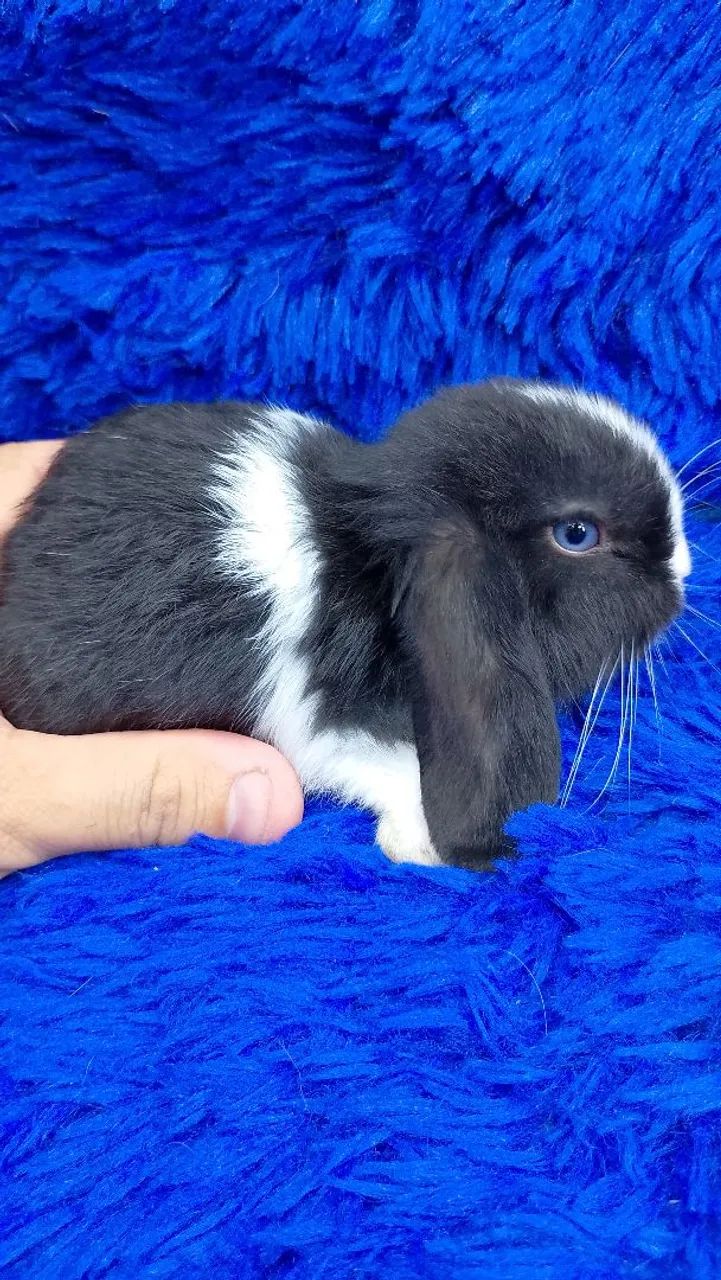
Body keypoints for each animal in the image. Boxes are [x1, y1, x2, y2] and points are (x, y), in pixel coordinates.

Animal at [0, 379, 691, 869]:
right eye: (577, 534)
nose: (682, 573)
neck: (370, 563)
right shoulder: (321, 716)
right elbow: (384, 763)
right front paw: (425, 846)